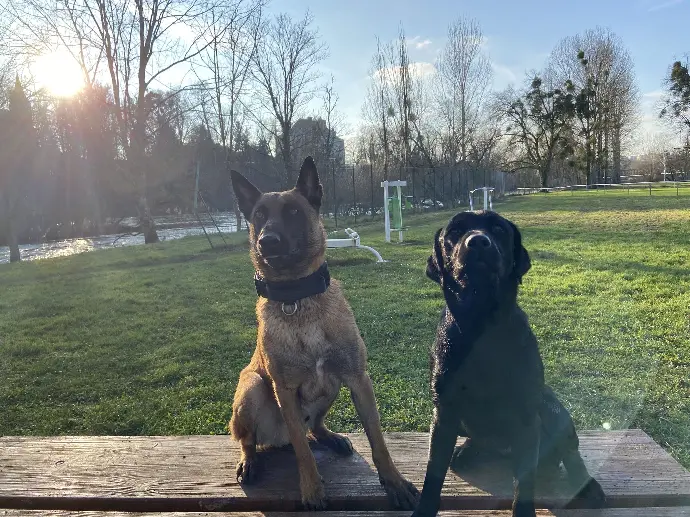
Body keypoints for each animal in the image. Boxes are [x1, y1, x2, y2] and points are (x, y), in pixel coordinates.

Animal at [228, 156, 416, 508]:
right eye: (259, 215)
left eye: (293, 212)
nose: (267, 241)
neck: (297, 300)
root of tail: (277, 439)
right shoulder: (285, 390)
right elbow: (303, 454)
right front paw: (312, 490)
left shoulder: (358, 379)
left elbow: (378, 440)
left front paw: (394, 482)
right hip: (253, 387)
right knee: (256, 440)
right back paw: (250, 462)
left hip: (330, 387)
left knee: (313, 427)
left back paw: (330, 438)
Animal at [408, 211, 600, 516]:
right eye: (455, 232)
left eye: (498, 229)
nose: (478, 242)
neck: (482, 328)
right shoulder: (443, 413)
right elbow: (433, 471)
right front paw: (424, 509)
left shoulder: (526, 415)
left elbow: (524, 483)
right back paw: (467, 450)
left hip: (551, 407)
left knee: (571, 453)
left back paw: (587, 485)